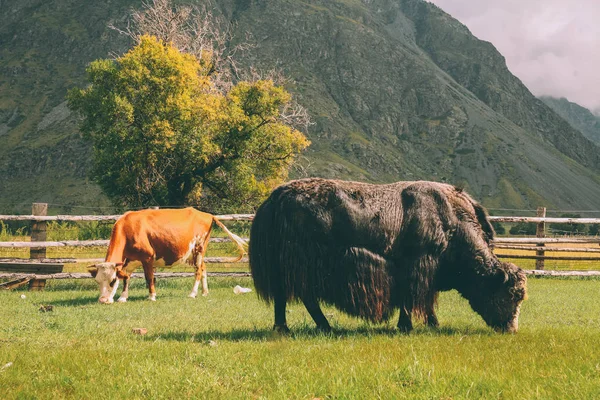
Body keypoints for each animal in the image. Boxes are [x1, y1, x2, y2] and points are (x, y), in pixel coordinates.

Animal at [88, 206, 246, 304]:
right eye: (97, 281)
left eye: (112, 280)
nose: (102, 300)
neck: (128, 229)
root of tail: (206, 214)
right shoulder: (128, 261)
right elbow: (126, 278)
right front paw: (122, 297)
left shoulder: (148, 258)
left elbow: (149, 278)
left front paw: (152, 296)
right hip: (195, 253)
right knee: (204, 268)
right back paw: (204, 292)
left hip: (199, 248)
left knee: (198, 271)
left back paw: (193, 293)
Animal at [251, 180, 528, 332]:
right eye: (510, 295)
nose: (511, 330)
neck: (451, 223)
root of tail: (274, 198)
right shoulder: (418, 265)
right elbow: (414, 298)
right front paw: (409, 326)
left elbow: (426, 299)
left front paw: (431, 324)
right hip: (299, 263)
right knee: (297, 296)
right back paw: (303, 327)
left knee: (293, 296)